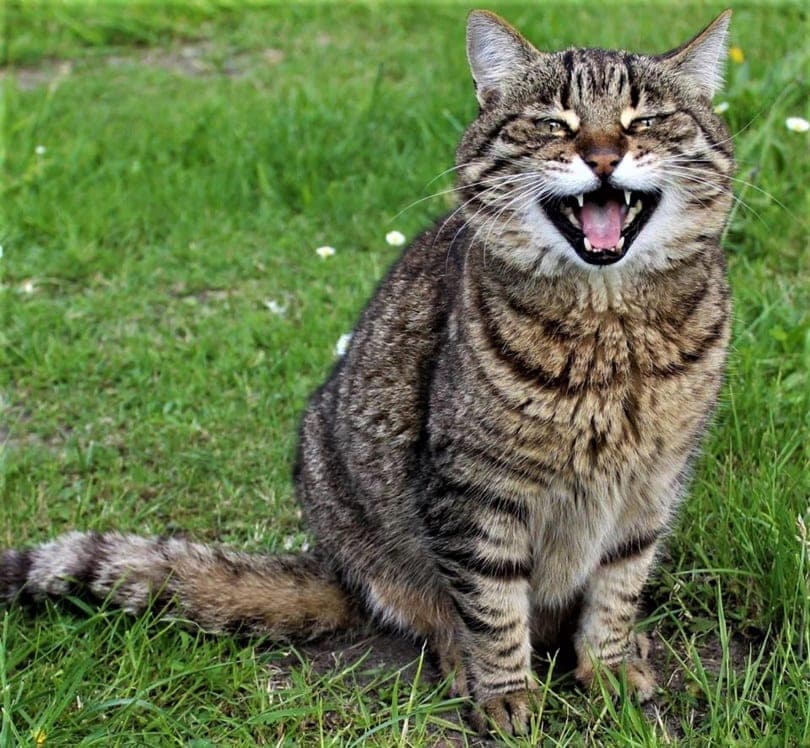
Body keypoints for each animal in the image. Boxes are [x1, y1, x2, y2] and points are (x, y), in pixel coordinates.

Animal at [0, 8, 732, 740]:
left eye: (645, 119)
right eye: (554, 122)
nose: (603, 156)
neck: (612, 334)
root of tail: (333, 565)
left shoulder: (653, 488)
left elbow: (617, 589)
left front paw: (608, 665)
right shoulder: (472, 491)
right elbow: (493, 606)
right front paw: (506, 692)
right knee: (439, 615)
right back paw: (464, 662)